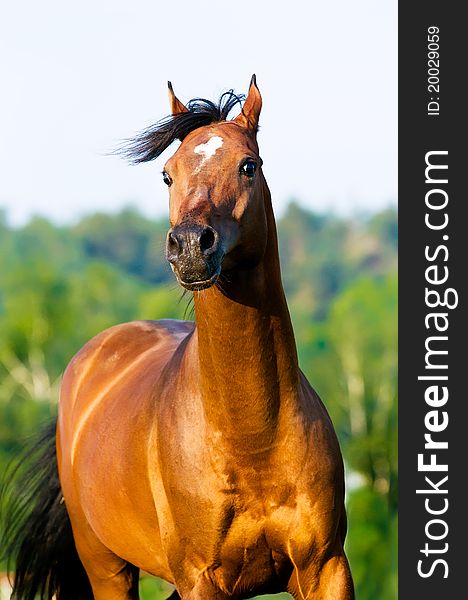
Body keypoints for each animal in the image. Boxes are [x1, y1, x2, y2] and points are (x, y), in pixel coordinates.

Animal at [0, 77, 352, 596]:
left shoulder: (326, 568)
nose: (189, 246)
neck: (252, 438)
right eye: (167, 174)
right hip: (107, 568)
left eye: (249, 166)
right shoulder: (201, 579)